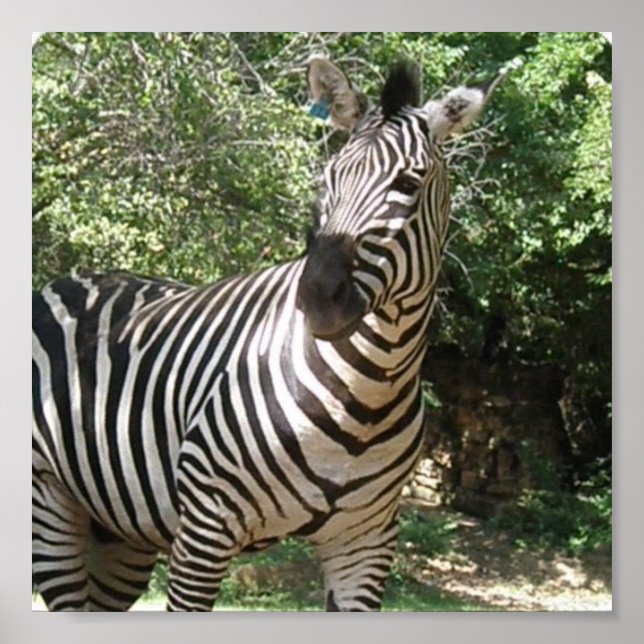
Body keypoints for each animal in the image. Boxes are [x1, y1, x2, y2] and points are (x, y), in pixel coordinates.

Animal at [32, 58, 502, 611]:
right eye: (328, 178)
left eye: (409, 183)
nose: (316, 295)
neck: (365, 391)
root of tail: (68, 280)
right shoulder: (205, 526)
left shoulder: (366, 541)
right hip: (49, 504)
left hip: (118, 531)